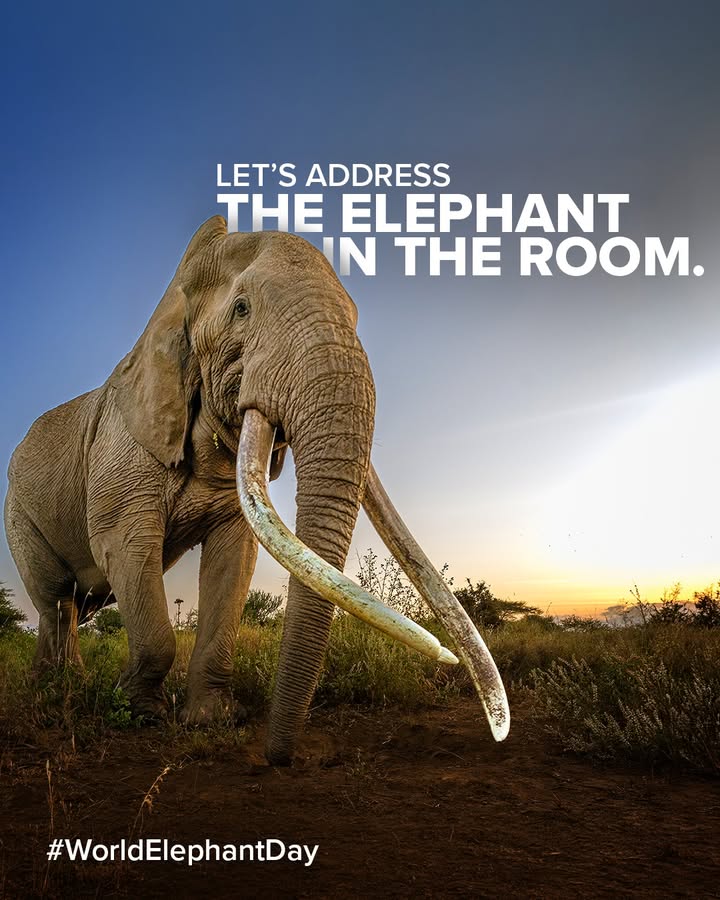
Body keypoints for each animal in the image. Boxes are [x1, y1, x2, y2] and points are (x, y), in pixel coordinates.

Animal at [4, 217, 509, 764]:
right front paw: (143, 716)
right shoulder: (123, 451)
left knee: (66, 604)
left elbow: (234, 558)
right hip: (18, 511)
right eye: (242, 309)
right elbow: (126, 546)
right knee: (56, 597)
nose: (279, 757)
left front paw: (212, 720)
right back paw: (61, 689)